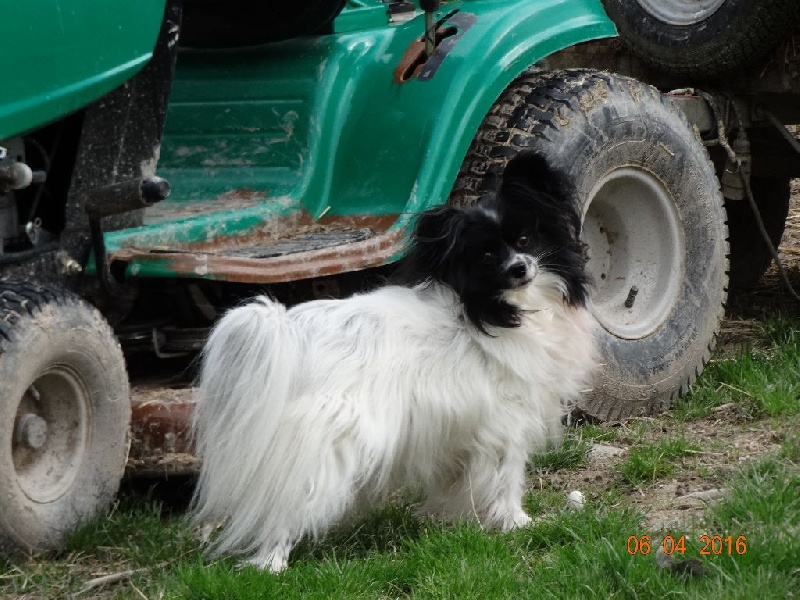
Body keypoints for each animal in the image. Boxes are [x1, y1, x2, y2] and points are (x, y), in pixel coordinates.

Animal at [192, 151, 592, 572]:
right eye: (486, 256)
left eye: (524, 240)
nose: (520, 268)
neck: (495, 310)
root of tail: (291, 330)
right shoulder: (507, 425)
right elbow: (506, 481)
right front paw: (518, 524)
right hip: (328, 445)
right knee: (288, 503)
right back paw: (271, 564)